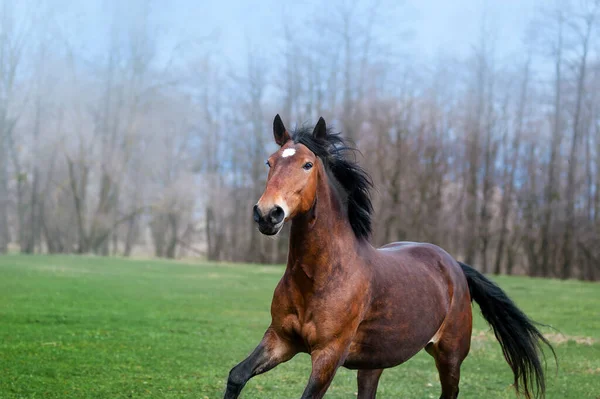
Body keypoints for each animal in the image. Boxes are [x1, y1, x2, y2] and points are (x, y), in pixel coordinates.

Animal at [224, 115, 552, 399]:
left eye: (307, 164)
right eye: (270, 161)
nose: (268, 214)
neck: (320, 276)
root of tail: (454, 265)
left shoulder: (329, 354)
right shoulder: (281, 339)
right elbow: (237, 375)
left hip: (450, 356)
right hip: (374, 363)